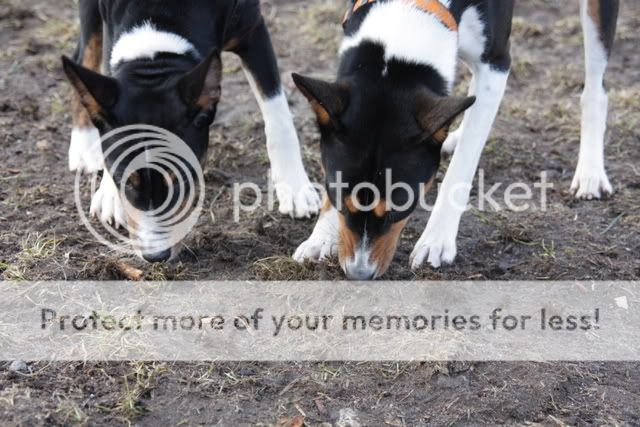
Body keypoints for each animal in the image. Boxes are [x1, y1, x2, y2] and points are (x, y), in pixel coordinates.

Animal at [62, 0, 320, 262]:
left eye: (181, 179)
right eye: (126, 183)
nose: (156, 256)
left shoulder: (252, 31)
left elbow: (277, 114)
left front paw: (294, 186)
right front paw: (110, 193)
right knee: (83, 55)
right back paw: (83, 144)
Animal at [292, 0, 619, 280]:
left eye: (399, 209)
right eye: (338, 199)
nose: (359, 274)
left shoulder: (496, 63)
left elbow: (463, 164)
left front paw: (437, 239)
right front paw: (322, 235)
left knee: (595, 89)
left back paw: (590, 172)